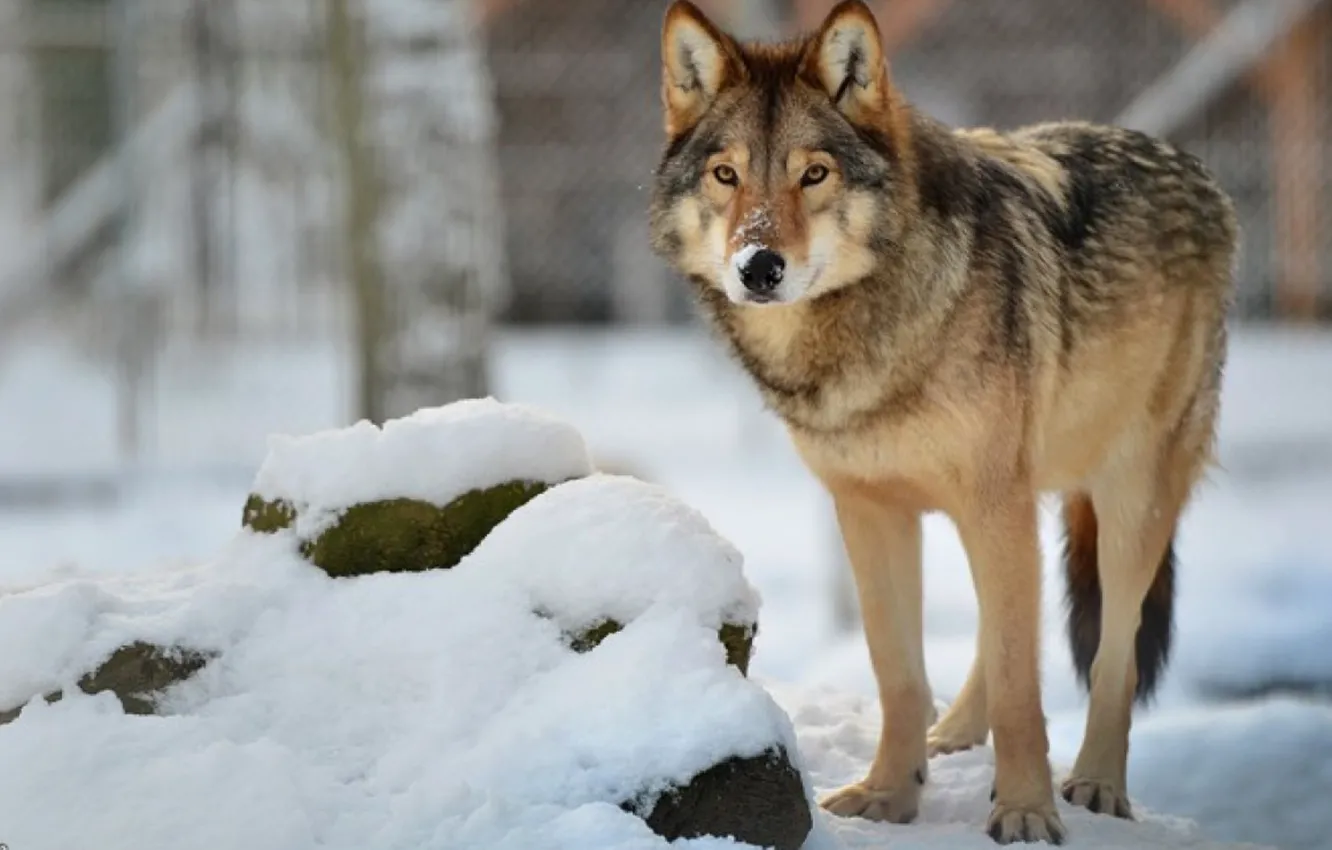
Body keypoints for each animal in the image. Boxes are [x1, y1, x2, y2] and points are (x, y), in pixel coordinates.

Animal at [648, 0, 1238, 844]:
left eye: (813, 173)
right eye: (726, 175)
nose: (757, 267)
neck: (871, 336)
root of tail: (1187, 162)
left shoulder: (995, 503)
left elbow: (1029, 687)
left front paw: (1025, 810)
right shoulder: (871, 511)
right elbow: (899, 672)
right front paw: (890, 795)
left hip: (1127, 497)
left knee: (1111, 653)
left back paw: (1095, 783)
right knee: (1001, 629)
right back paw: (954, 736)